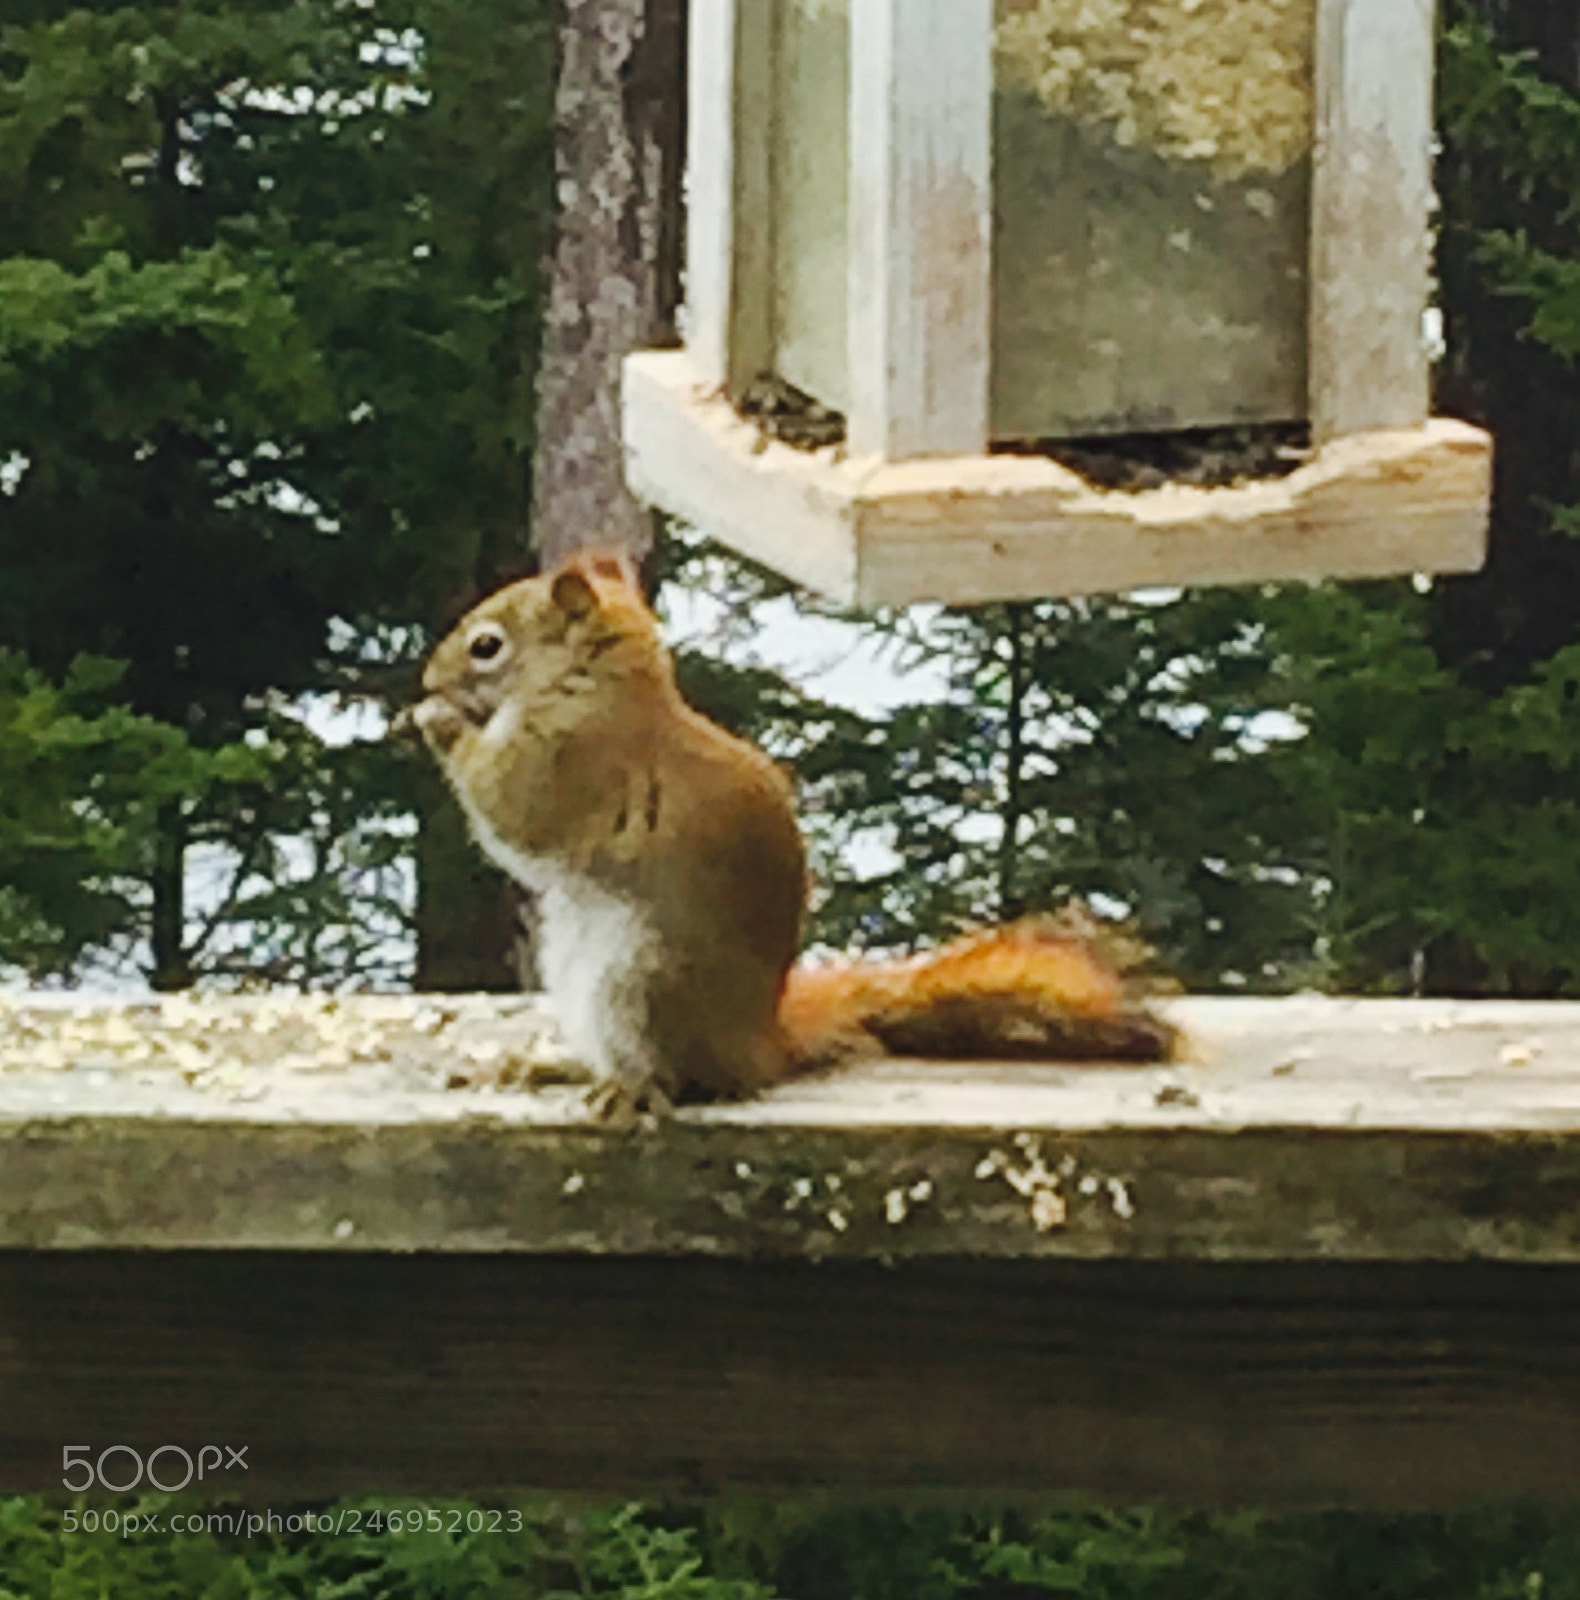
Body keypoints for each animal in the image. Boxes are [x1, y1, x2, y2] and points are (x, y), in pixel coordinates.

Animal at [410, 554, 1177, 1118]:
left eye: (487, 646)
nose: (426, 679)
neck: (596, 688)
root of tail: (758, 1049)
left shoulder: (569, 762)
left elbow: (510, 812)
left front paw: (437, 722)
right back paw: (558, 1067)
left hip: (641, 981)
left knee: (678, 1076)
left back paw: (632, 1089)